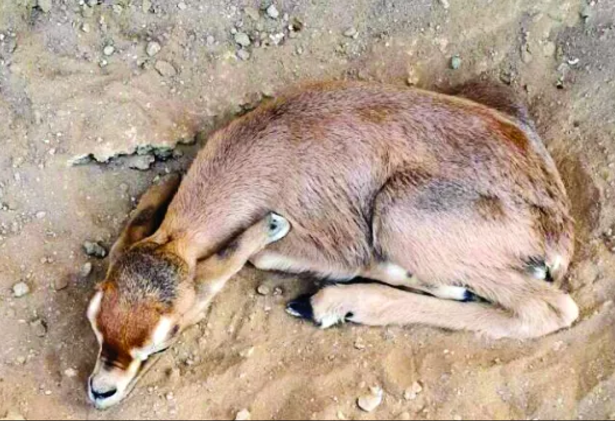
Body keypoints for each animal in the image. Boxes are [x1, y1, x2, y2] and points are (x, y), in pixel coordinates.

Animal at [85, 81, 576, 406]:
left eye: (166, 340)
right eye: (95, 317)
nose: (100, 390)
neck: (265, 153)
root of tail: (558, 228)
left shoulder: (328, 240)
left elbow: (266, 253)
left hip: (397, 216)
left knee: (550, 309)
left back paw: (330, 303)